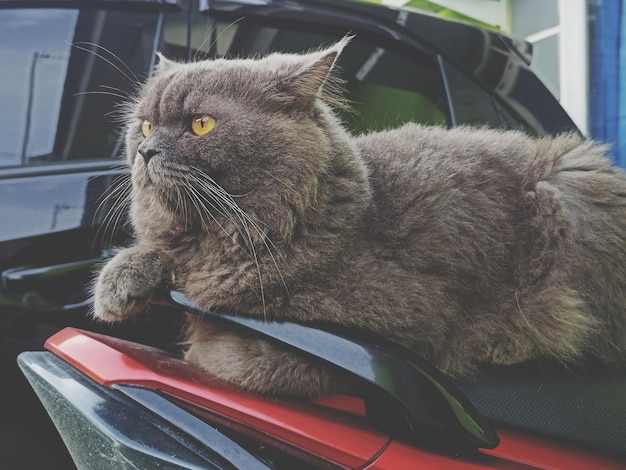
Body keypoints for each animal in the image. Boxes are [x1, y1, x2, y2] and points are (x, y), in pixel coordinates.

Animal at [92, 39, 624, 396]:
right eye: (144, 126)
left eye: (201, 124)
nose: (145, 151)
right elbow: (154, 255)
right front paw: (118, 286)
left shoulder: (405, 320)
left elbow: (270, 361)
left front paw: (206, 350)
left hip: (567, 190)